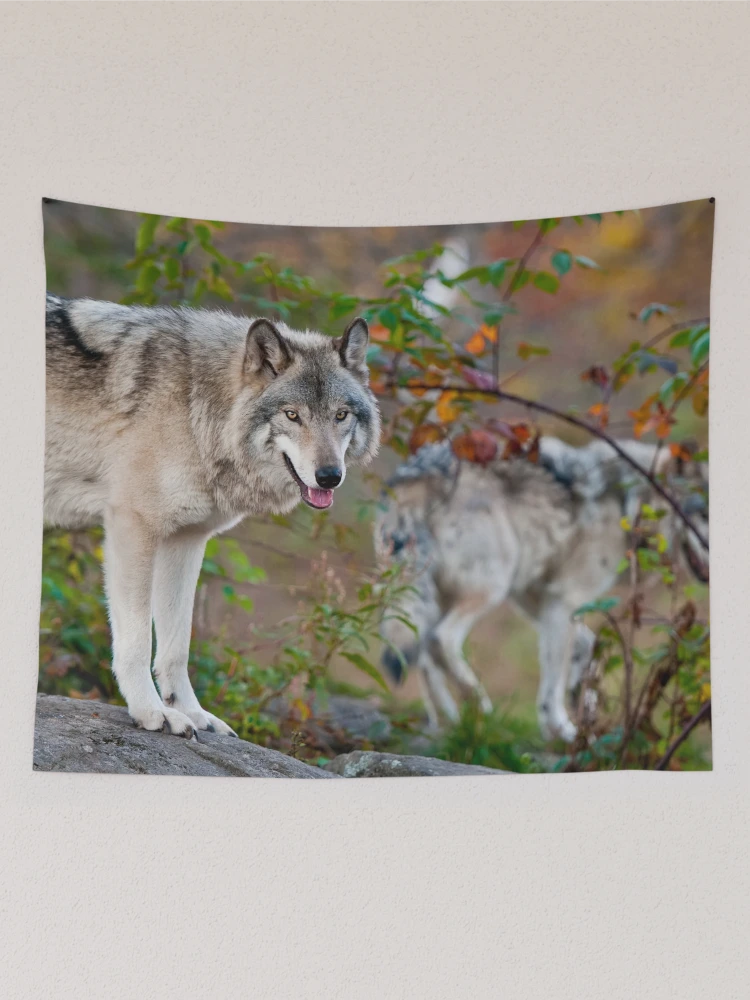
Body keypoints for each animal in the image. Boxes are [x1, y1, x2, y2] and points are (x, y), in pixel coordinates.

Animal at [44, 294, 381, 738]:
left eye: (341, 415)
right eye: (292, 415)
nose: (330, 476)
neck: (196, 407)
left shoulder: (185, 540)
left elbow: (177, 646)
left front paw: (192, 712)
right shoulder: (132, 526)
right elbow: (137, 640)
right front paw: (150, 711)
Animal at [374, 436, 709, 741]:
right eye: (704, 514)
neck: (628, 501)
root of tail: (415, 474)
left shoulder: (536, 597)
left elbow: (587, 645)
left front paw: (582, 699)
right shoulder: (565, 600)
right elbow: (553, 684)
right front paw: (562, 731)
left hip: (434, 598)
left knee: (420, 653)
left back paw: (447, 724)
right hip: (490, 586)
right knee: (440, 640)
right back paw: (482, 714)